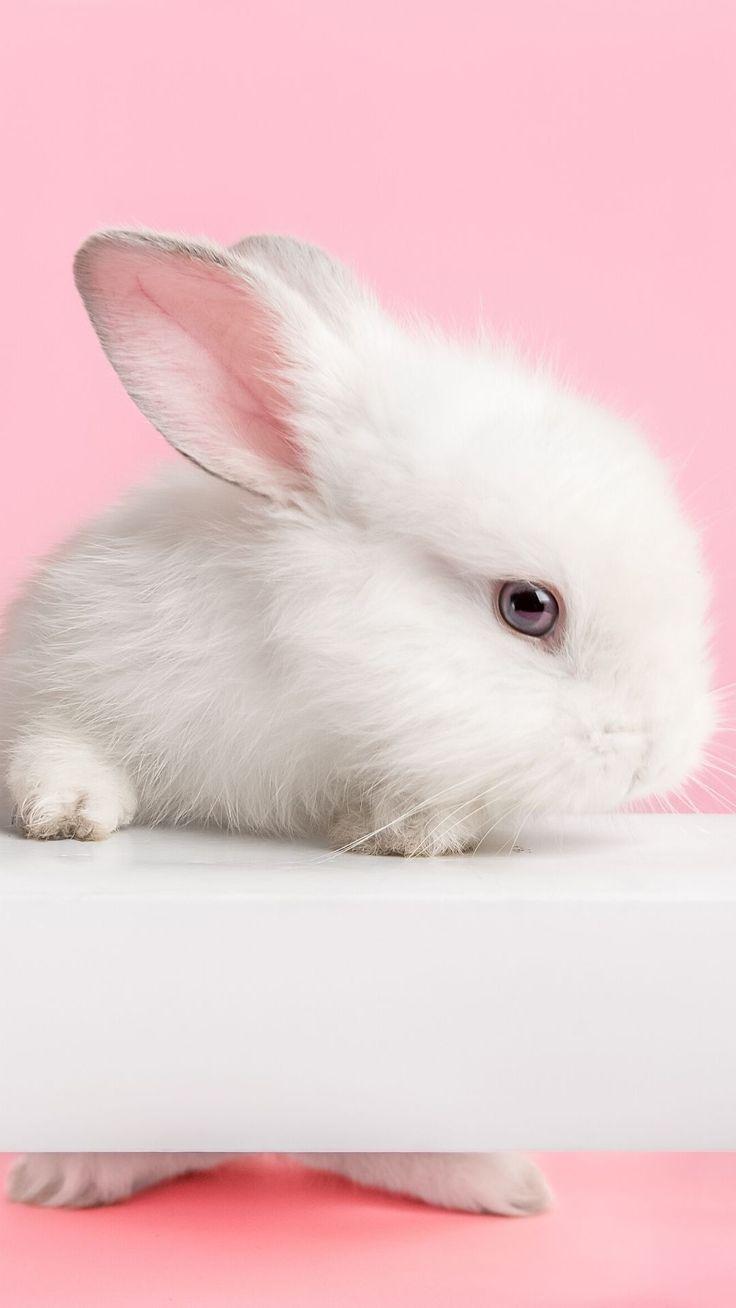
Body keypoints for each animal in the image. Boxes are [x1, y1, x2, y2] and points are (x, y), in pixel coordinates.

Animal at [1, 227, 714, 1213]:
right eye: (529, 607)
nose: (660, 753)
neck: (315, 700)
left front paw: (405, 831)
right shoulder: (54, 676)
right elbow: (54, 749)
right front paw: (68, 817)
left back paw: (502, 1186)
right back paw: (66, 1177)